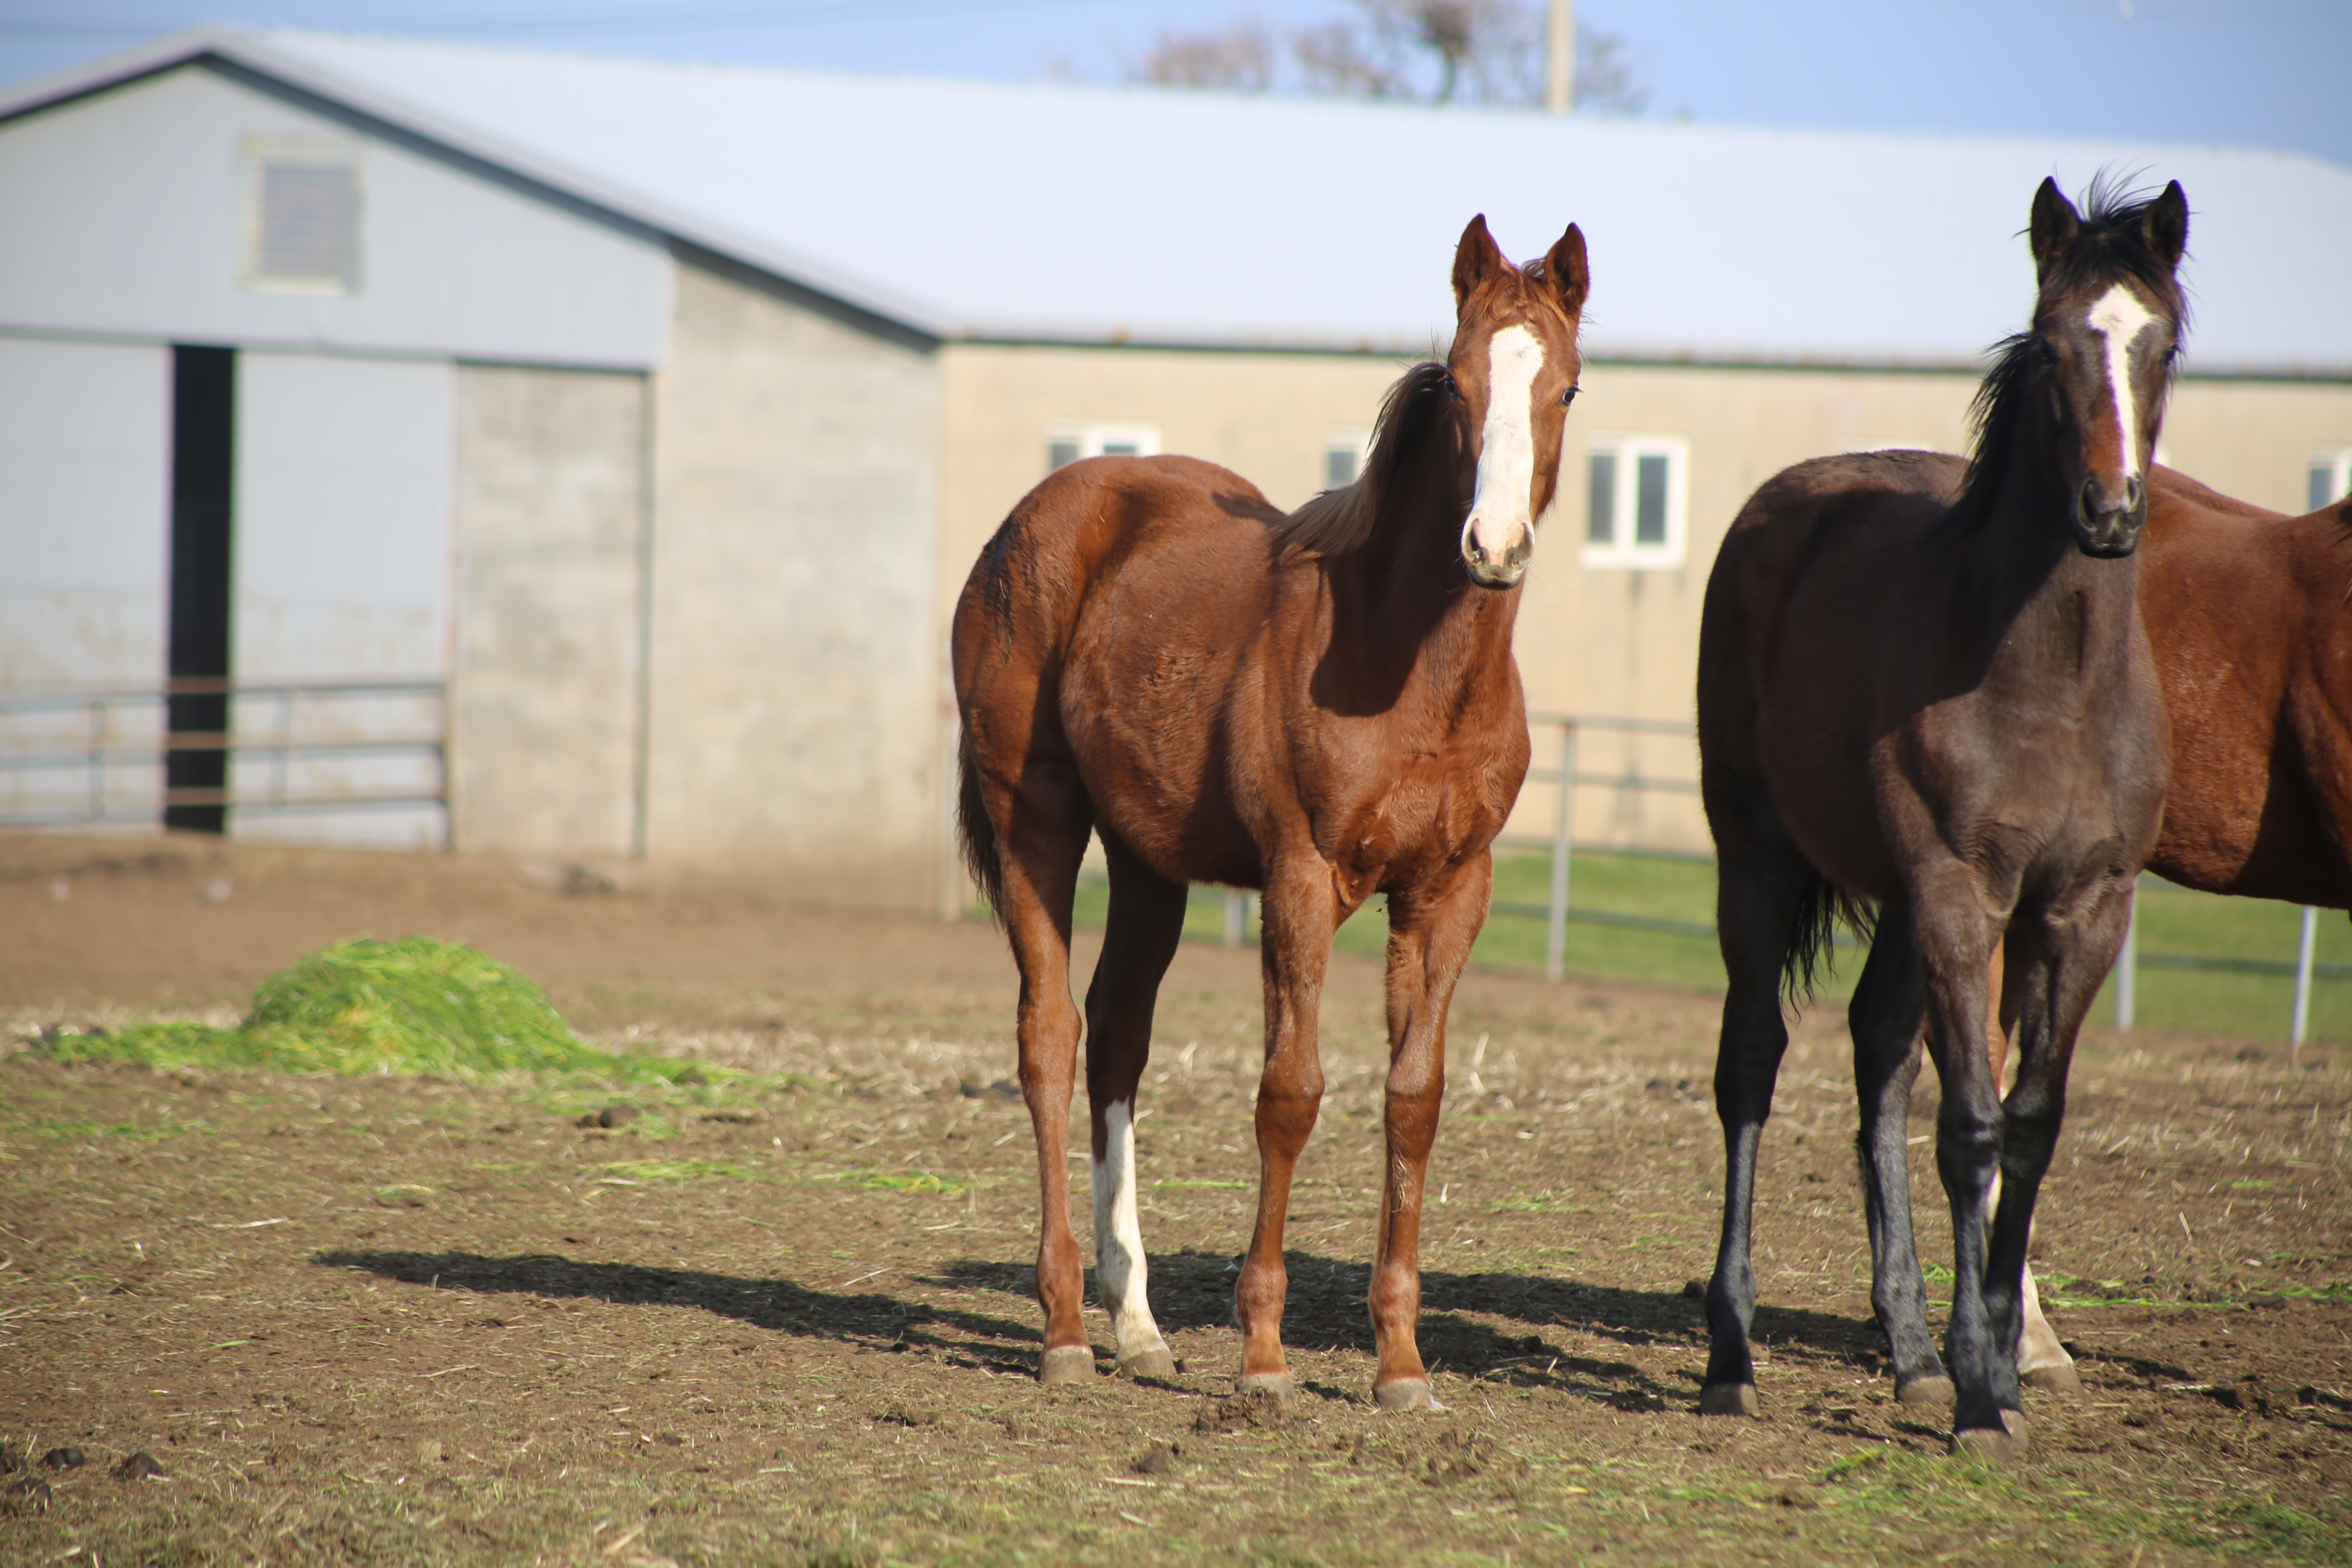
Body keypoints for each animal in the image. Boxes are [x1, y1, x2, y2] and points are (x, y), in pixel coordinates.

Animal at [945, 212, 1590, 1410]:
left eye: (1565, 386)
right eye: (1461, 380)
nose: (1492, 546)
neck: (1406, 666)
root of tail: (1035, 515)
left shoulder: (1447, 893)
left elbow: (1413, 1099)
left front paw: (1400, 1365)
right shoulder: (1299, 880)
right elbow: (1288, 1092)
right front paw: (1263, 1358)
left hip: (1148, 862)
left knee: (1116, 1037)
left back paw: (1139, 1325)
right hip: (1034, 821)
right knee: (1049, 1037)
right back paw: (1065, 1328)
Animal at [1693, 181, 2183, 1457]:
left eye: (2160, 344)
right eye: (2053, 343)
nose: (2108, 513)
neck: (2052, 682)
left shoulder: (2082, 909)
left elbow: (2028, 1127)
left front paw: (1993, 1368)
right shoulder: (1965, 893)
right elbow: (1966, 1127)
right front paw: (1977, 1392)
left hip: (1901, 903)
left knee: (1875, 1053)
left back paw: (1907, 1352)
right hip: (1758, 860)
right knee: (1750, 1064)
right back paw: (1730, 1356)